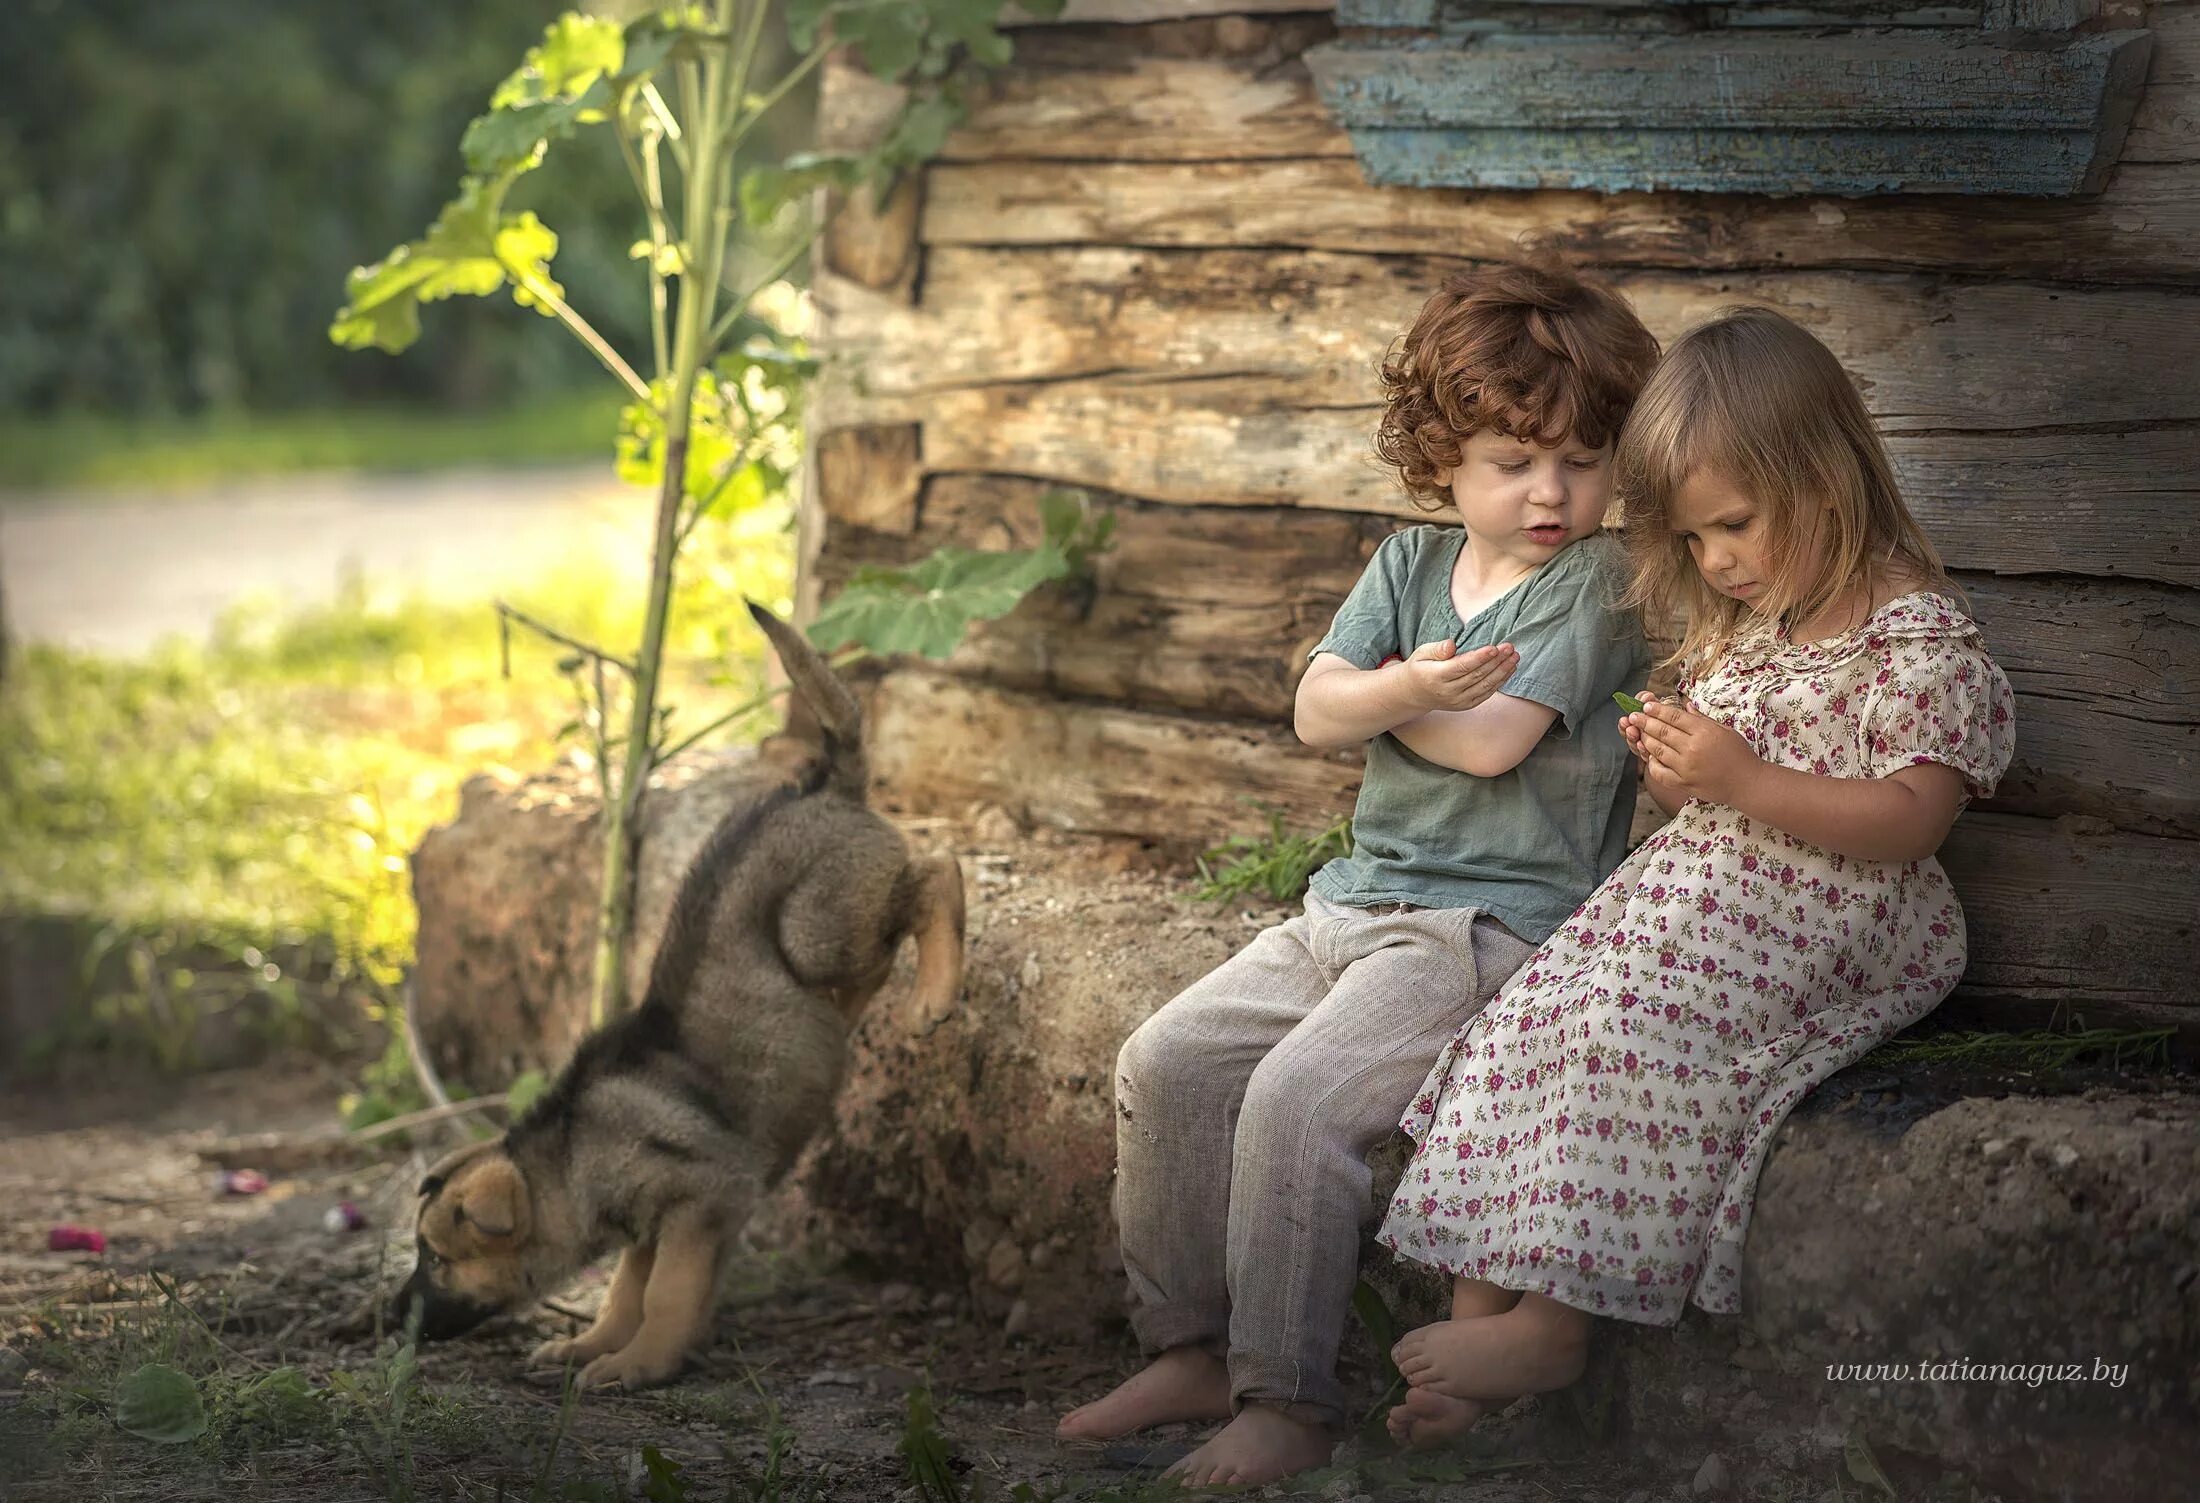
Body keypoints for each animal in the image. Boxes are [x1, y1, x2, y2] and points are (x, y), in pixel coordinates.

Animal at [389, 598, 972, 1390]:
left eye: (440, 1259)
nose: (392, 1317)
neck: (568, 1161)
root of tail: (821, 783)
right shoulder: (650, 1227)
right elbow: (627, 1292)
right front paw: (593, 1345)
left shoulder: (701, 1198)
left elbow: (663, 1294)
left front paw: (639, 1365)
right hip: (826, 965)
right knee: (877, 949)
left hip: (817, 927)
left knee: (937, 871)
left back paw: (935, 993)